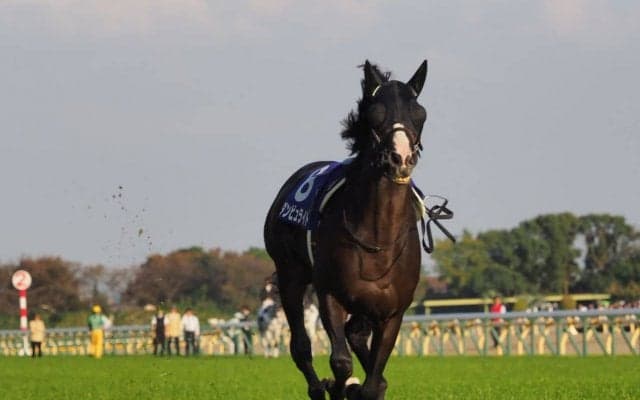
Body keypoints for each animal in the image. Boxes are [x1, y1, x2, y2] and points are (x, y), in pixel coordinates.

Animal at [265, 60, 445, 400]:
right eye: (374, 113)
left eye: (420, 114)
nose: (401, 158)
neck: (379, 235)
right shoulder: (330, 295)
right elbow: (340, 363)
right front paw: (337, 385)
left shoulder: (392, 312)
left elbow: (374, 380)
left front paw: (363, 386)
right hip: (290, 274)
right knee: (301, 347)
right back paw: (319, 386)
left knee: (356, 337)